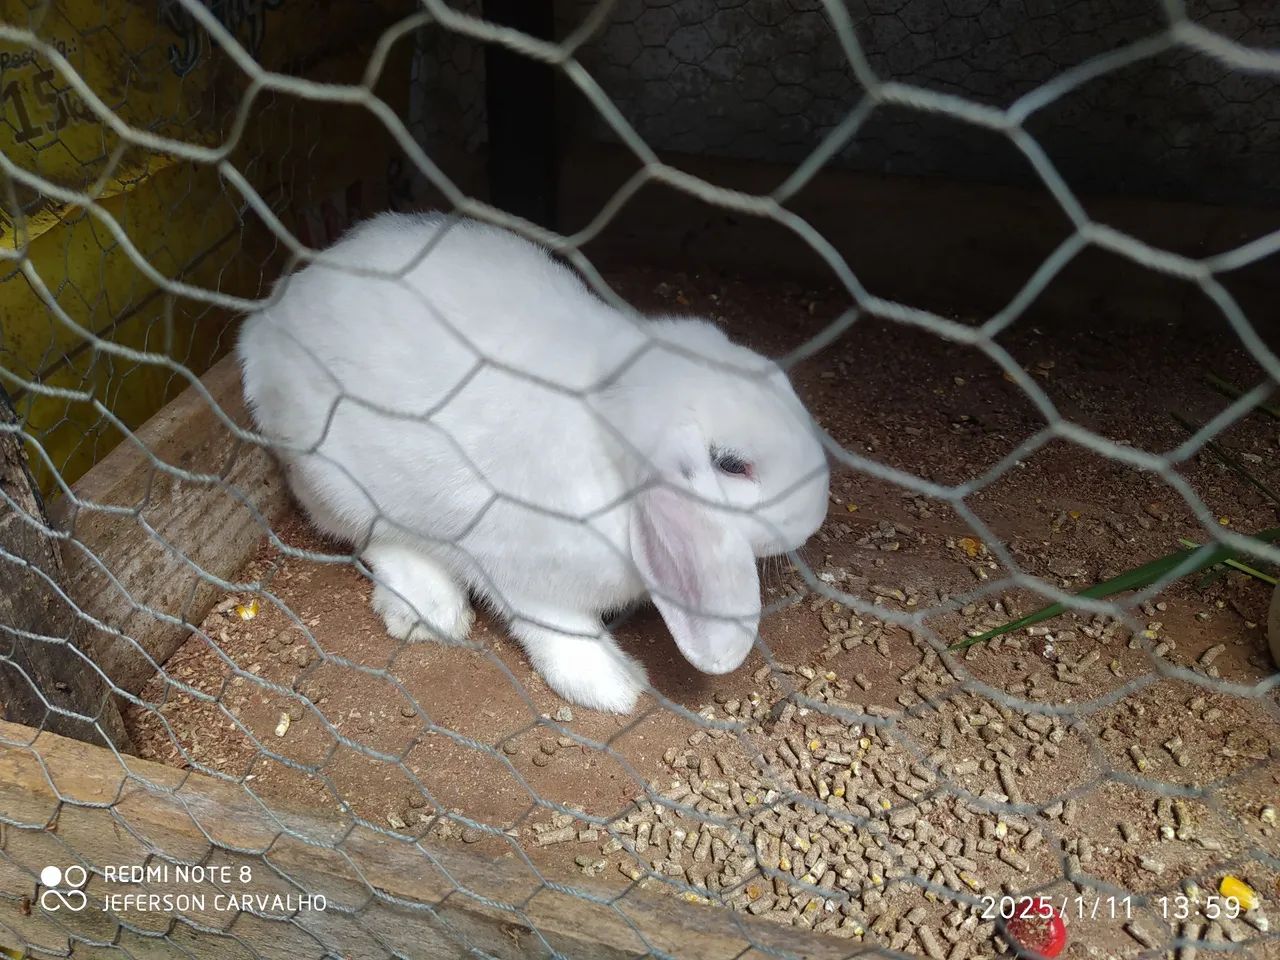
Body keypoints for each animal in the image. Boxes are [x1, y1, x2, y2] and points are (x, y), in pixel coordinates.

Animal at [237, 212, 831, 713]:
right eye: (733, 465)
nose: (815, 517)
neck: (609, 431)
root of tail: (265, 329)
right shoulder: (530, 579)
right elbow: (559, 630)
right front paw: (615, 687)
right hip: (334, 480)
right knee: (371, 536)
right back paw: (430, 610)